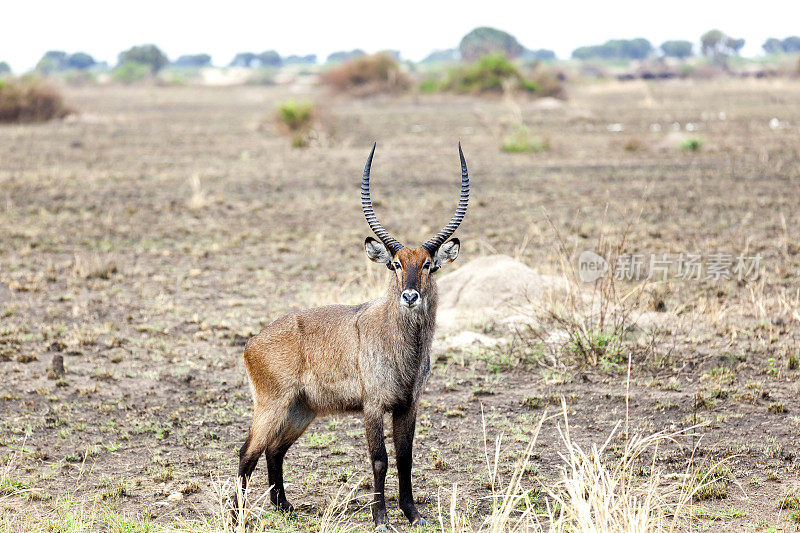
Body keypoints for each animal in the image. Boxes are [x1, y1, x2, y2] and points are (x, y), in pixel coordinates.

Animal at [231, 141, 468, 528]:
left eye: (429, 265)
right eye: (396, 263)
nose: (410, 296)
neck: (400, 342)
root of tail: (252, 342)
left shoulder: (409, 404)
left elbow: (405, 457)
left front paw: (413, 514)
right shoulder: (373, 405)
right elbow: (380, 459)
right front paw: (381, 518)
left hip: (301, 410)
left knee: (274, 450)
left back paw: (286, 507)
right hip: (272, 406)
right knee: (247, 452)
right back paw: (239, 518)